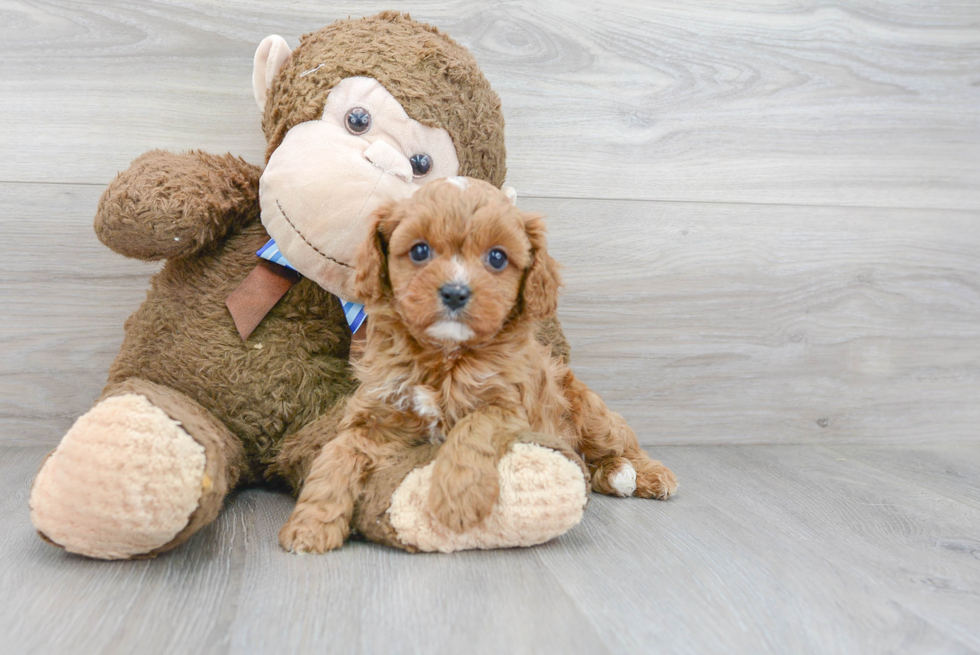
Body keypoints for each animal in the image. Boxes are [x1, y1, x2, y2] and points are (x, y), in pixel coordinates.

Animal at [280, 176, 676, 552]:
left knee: (619, 441)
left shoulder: (506, 408)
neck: (446, 355)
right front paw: (310, 526)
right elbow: (336, 454)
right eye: (420, 250)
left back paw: (646, 475)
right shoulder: (379, 414)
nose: (455, 292)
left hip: (589, 413)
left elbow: (473, 428)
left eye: (497, 258)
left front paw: (456, 499)